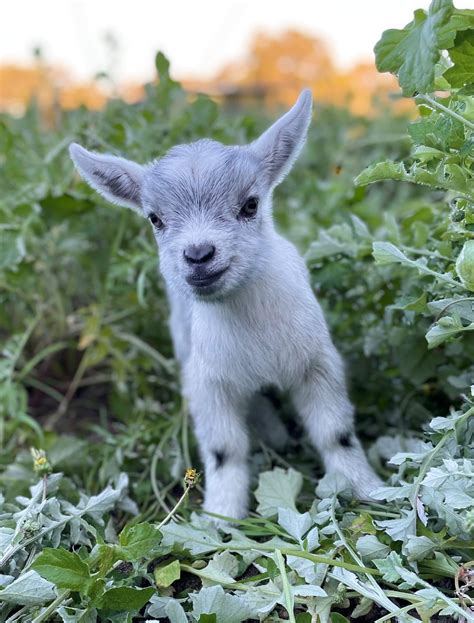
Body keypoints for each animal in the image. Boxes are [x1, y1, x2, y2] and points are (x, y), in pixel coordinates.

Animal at [69, 91, 382, 520]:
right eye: (155, 219)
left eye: (250, 205)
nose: (199, 255)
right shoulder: (208, 383)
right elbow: (225, 451)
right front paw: (221, 517)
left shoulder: (317, 363)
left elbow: (336, 434)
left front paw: (369, 490)